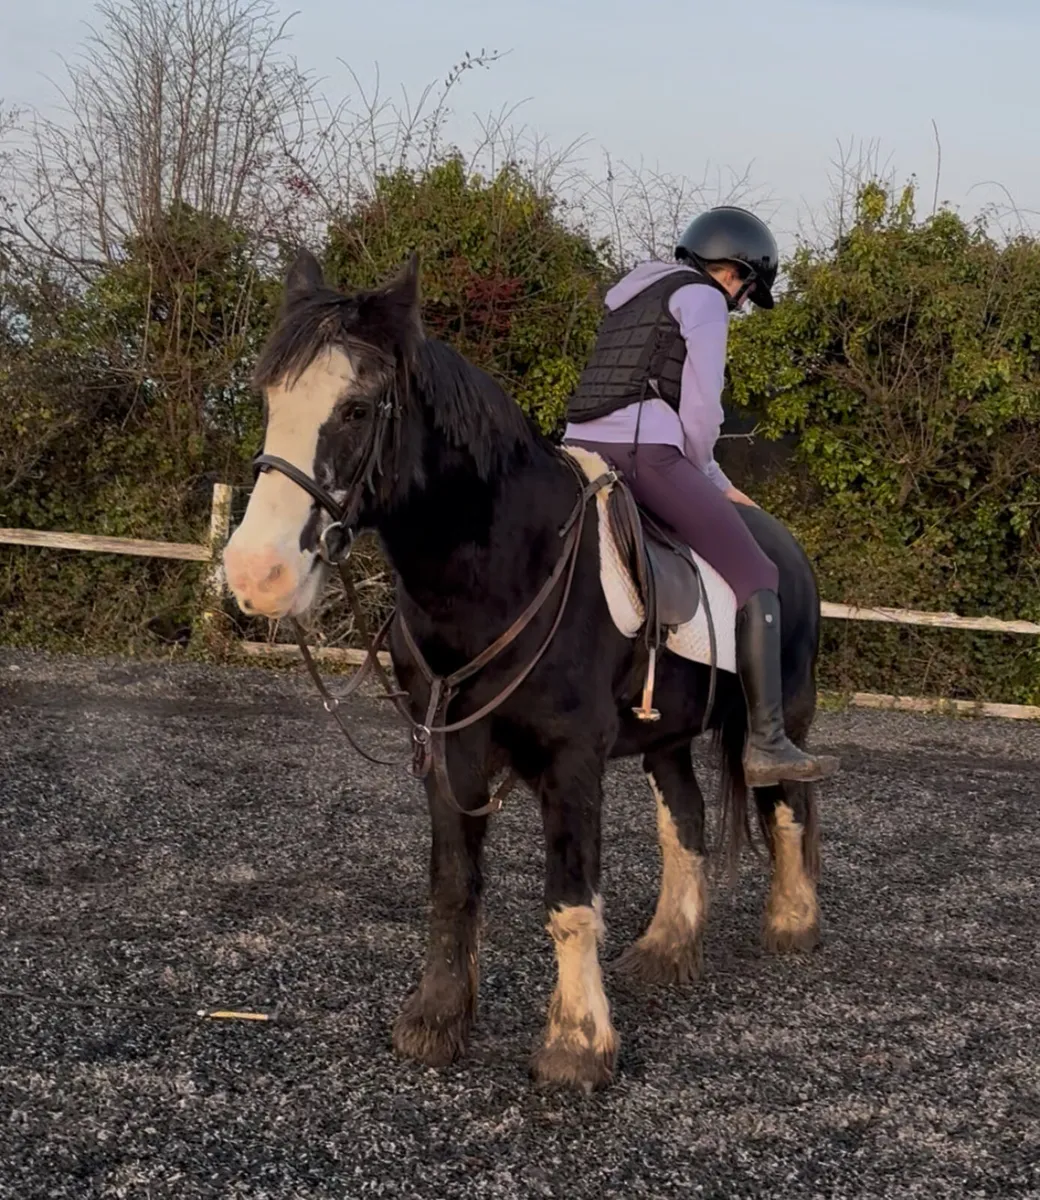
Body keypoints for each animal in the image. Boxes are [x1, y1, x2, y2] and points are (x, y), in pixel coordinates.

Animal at [221, 249, 829, 1093]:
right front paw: (435, 1020)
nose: (257, 572)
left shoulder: (571, 757)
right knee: (686, 823)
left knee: (786, 801)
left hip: (787, 709)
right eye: (269, 398)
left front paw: (577, 1045)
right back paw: (667, 947)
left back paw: (793, 920)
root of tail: (782, 546)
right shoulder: (450, 748)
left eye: (357, 408)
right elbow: (453, 885)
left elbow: (570, 902)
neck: (508, 563)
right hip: (668, 738)